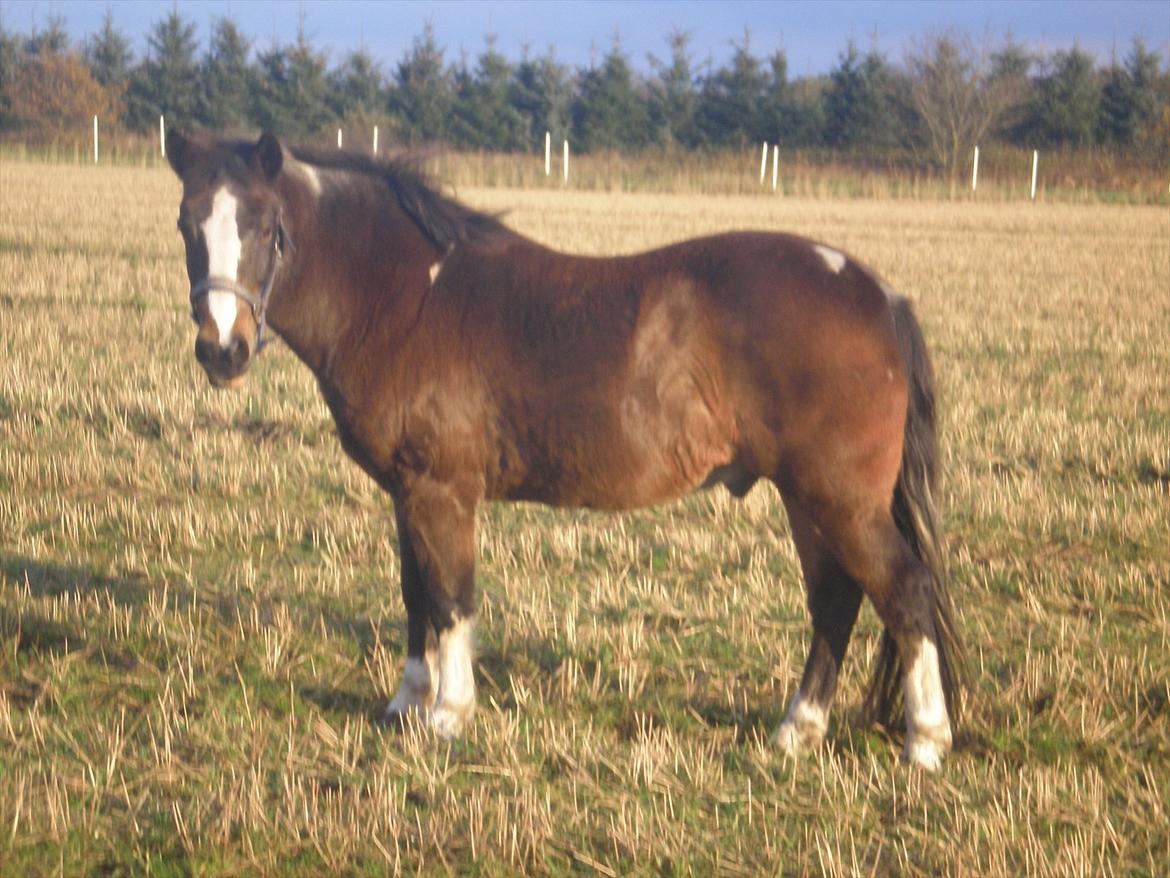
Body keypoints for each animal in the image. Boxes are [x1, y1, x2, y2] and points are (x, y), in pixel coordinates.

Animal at [164, 131, 967, 770]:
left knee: (903, 589)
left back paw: (925, 741)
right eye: (186, 224)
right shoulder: (407, 492)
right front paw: (406, 703)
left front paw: (448, 714)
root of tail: (878, 293)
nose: (222, 351)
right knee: (836, 598)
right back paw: (798, 730)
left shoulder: (442, 490)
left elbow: (451, 597)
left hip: (839, 498)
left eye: (268, 226)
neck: (407, 298)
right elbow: (415, 592)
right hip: (809, 499)